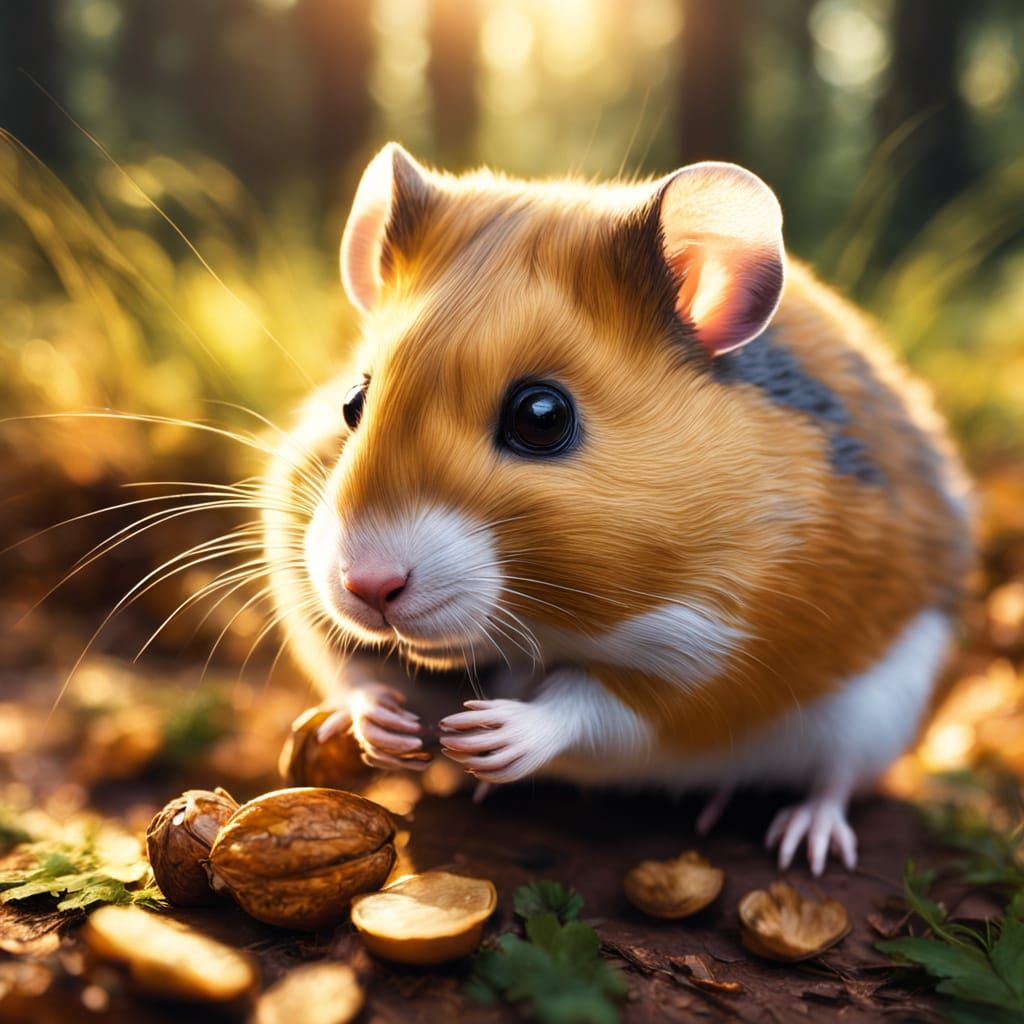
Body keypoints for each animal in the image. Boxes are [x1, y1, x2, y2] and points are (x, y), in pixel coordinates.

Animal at [263, 143, 973, 875]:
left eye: (541, 417)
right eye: (353, 402)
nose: (369, 585)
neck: (545, 622)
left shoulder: (721, 661)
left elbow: (598, 709)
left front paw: (489, 736)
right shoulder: (299, 578)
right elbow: (348, 666)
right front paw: (385, 726)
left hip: (880, 711)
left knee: (837, 780)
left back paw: (805, 842)